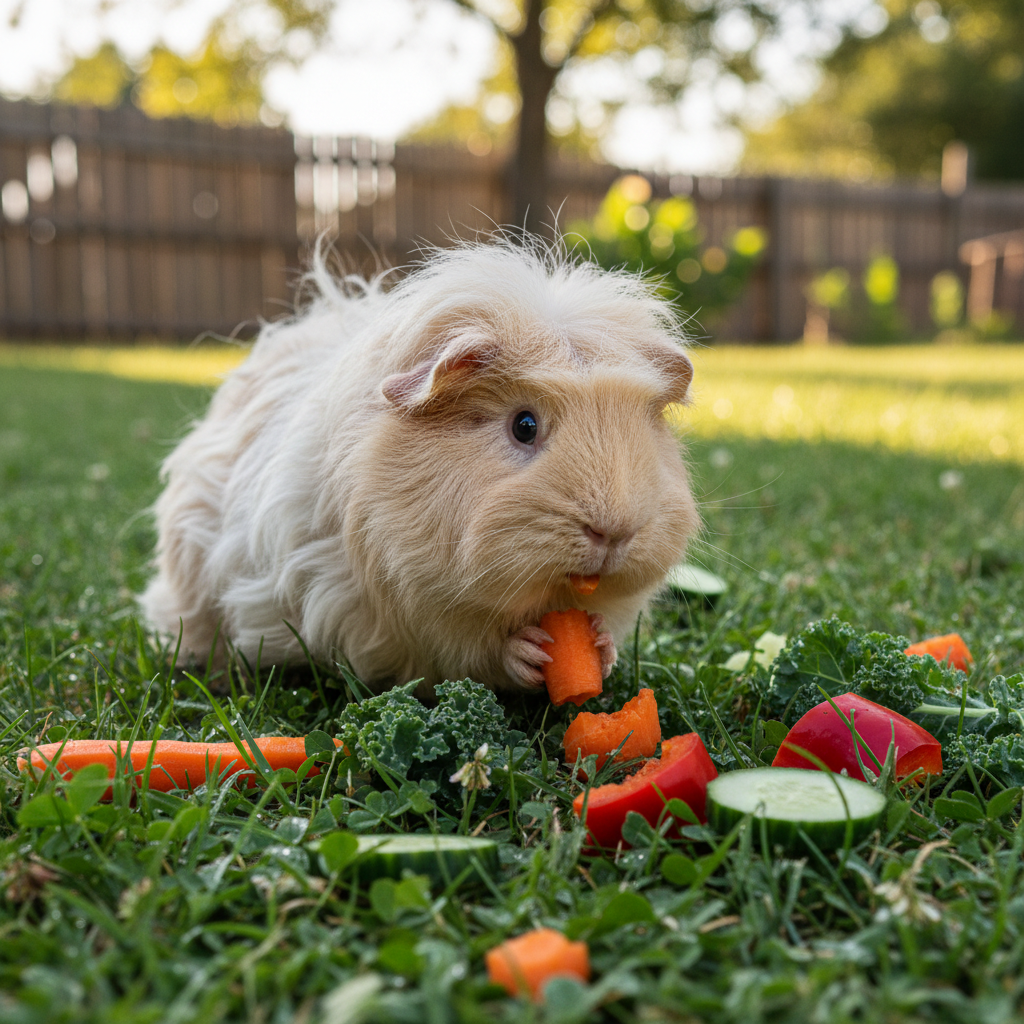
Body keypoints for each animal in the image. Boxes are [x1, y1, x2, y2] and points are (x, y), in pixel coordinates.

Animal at [140, 235, 700, 696]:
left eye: (642, 429)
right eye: (524, 425)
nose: (614, 531)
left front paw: (601, 646)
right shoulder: (412, 619)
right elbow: (468, 647)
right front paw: (528, 651)